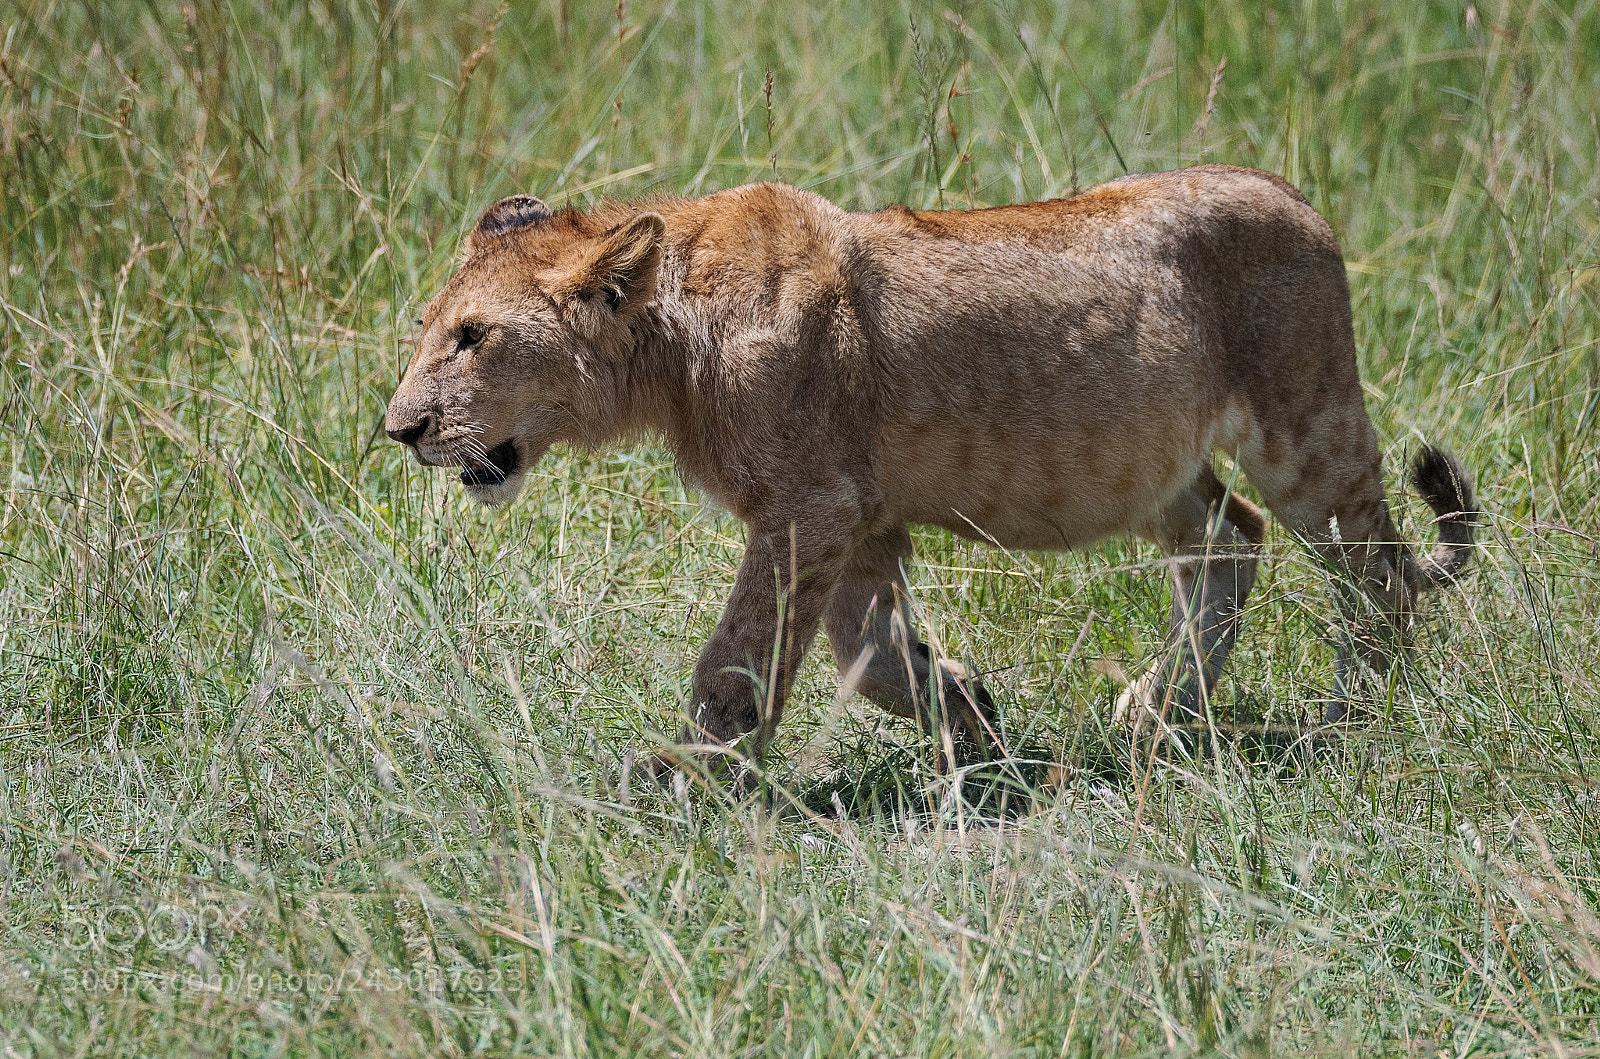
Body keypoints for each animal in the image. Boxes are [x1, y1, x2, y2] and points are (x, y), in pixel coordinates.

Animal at [384, 165, 1478, 770]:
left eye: (474, 336)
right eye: (428, 326)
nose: (400, 429)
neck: (666, 335)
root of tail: (1295, 193)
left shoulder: (810, 506)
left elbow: (739, 661)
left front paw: (688, 780)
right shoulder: (856, 518)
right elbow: (871, 655)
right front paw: (972, 722)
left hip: (1307, 431)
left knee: (1377, 575)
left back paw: (1349, 722)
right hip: (1154, 468)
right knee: (1228, 542)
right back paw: (1152, 715)